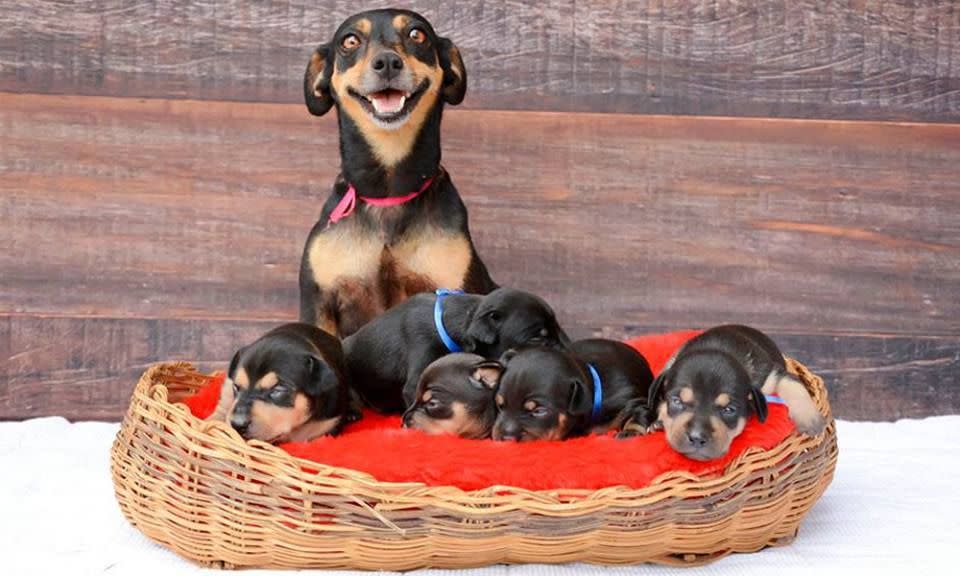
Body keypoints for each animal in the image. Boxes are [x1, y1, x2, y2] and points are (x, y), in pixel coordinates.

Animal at [496, 340, 652, 444]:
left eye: (539, 411)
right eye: (500, 406)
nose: (506, 439)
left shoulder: (631, 401)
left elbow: (637, 414)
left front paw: (630, 433)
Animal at [620, 326, 828, 462]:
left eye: (729, 410)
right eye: (676, 401)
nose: (697, 437)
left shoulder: (773, 375)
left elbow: (793, 384)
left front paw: (810, 420)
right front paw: (658, 423)